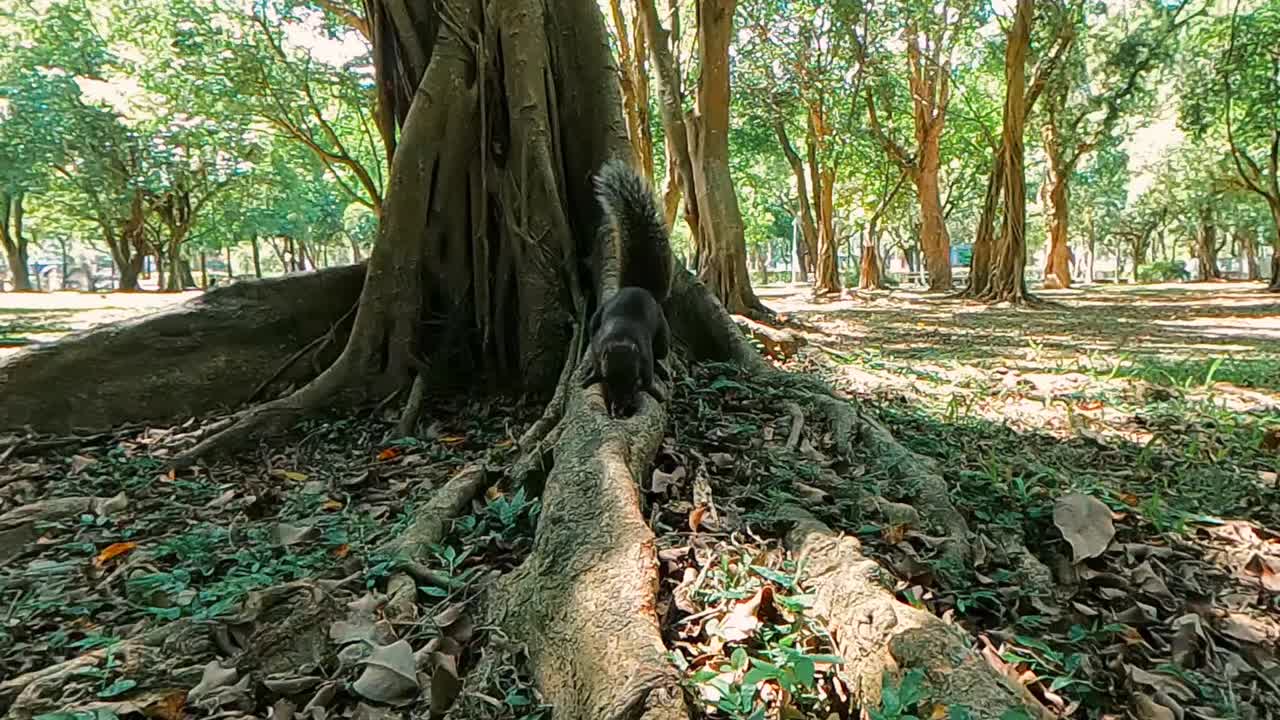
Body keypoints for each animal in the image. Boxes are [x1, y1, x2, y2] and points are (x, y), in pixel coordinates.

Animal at [580, 159, 674, 418]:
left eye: (635, 382)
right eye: (608, 381)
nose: (620, 408)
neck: (620, 338)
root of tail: (638, 288)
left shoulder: (646, 356)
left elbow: (650, 375)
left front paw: (653, 390)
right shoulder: (598, 348)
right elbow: (594, 364)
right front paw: (590, 377)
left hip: (662, 335)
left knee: (662, 353)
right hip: (596, 318)